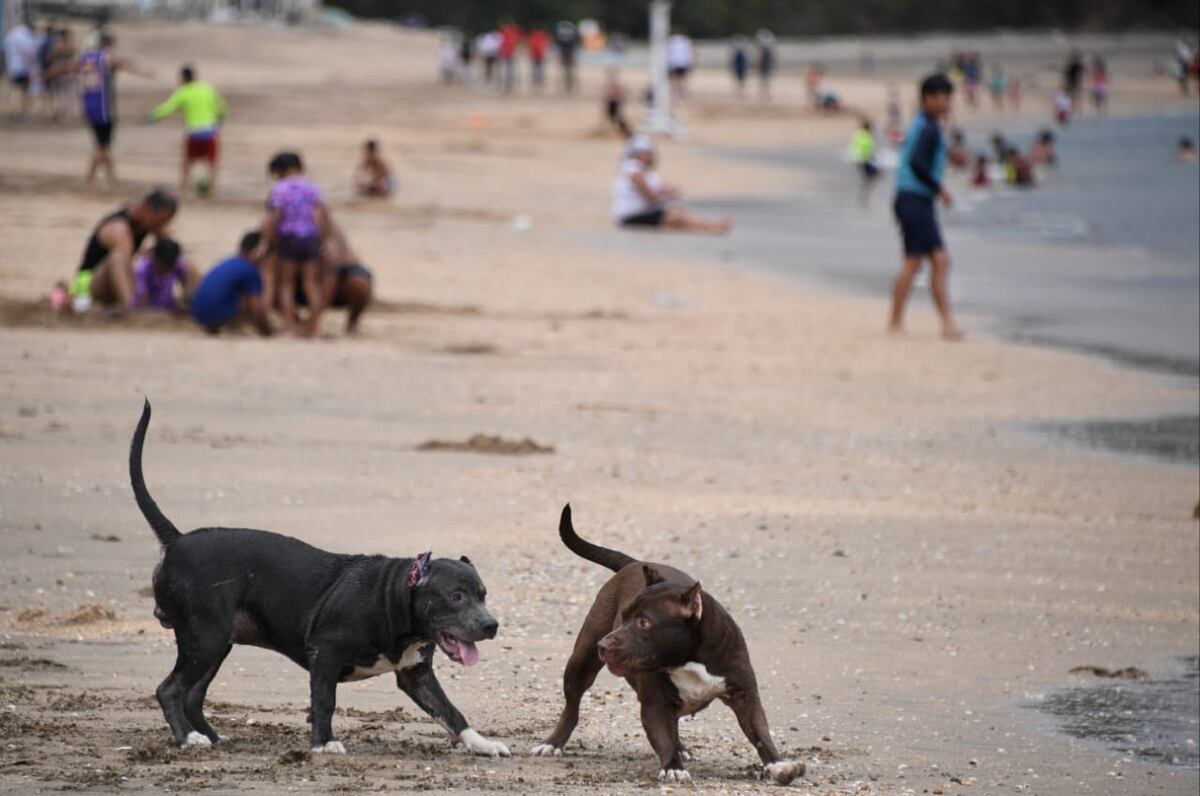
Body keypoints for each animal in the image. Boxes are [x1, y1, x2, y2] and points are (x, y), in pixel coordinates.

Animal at [131, 401, 506, 758]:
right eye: (455, 596)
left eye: (484, 595)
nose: (491, 625)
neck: (396, 598)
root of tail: (178, 540)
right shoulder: (325, 654)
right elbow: (325, 702)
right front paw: (324, 743)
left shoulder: (417, 676)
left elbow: (451, 712)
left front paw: (481, 743)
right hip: (205, 638)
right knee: (170, 689)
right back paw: (188, 738)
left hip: (214, 643)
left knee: (193, 694)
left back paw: (210, 736)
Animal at [532, 504, 806, 782]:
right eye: (624, 616)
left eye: (643, 622)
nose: (604, 645)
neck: (688, 658)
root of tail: (634, 563)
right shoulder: (655, 704)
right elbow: (663, 738)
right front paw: (673, 767)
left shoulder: (744, 694)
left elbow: (759, 732)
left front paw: (776, 764)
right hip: (581, 663)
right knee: (572, 706)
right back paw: (552, 743)